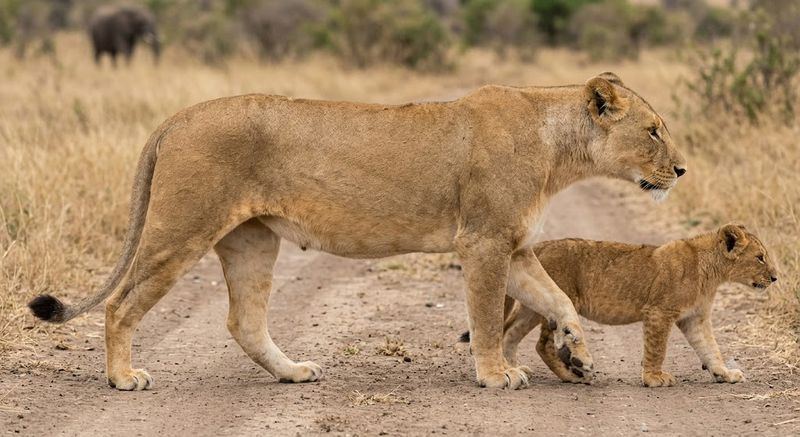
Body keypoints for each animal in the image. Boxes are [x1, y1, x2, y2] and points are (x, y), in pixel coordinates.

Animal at [27, 72, 686, 391]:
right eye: (654, 130)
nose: (682, 170)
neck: (559, 152)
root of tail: (178, 116)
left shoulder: (516, 246)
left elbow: (559, 299)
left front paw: (577, 353)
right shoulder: (483, 241)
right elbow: (484, 317)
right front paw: (496, 375)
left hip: (253, 239)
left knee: (244, 321)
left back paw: (293, 372)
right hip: (181, 228)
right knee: (121, 303)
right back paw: (122, 378)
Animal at [483, 224, 777, 387]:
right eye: (760, 257)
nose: (775, 277)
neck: (712, 273)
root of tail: (540, 246)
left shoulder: (695, 318)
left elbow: (710, 349)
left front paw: (724, 374)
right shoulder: (659, 311)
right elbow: (657, 349)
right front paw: (654, 378)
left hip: (533, 305)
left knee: (510, 332)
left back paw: (516, 368)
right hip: (559, 302)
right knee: (543, 344)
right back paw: (573, 374)